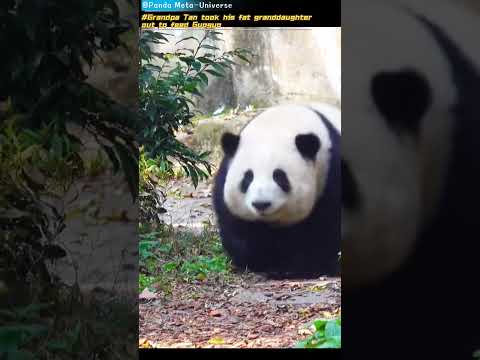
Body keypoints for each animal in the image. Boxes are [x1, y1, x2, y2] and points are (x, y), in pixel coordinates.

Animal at [213, 103, 342, 278]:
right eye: (248, 177)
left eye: (279, 177)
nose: (261, 204)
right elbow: (237, 228)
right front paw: (260, 261)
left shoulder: (330, 175)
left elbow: (322, 232)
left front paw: (293, 268)